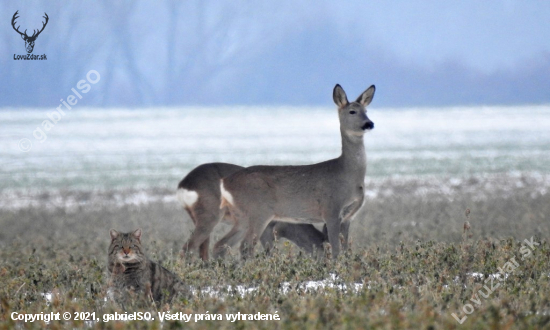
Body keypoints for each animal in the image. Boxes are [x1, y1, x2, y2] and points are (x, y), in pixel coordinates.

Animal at [179, 162, 330, 260]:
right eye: (325, 250)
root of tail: (183, 185)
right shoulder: (268, 226)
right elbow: (270, 252)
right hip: (210, 215)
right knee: (189, 248)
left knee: (203, 249)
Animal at [216, 84, 376, 260]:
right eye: (352, 111)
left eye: (366, 110)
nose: (369, 124)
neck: (347, 174)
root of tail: (225, 182)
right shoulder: (331, 209)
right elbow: (335, 250)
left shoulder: (348, 216)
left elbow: (346, 250)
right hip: (258, 211)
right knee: (245, 246)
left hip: (242, 216)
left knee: (222, 244)